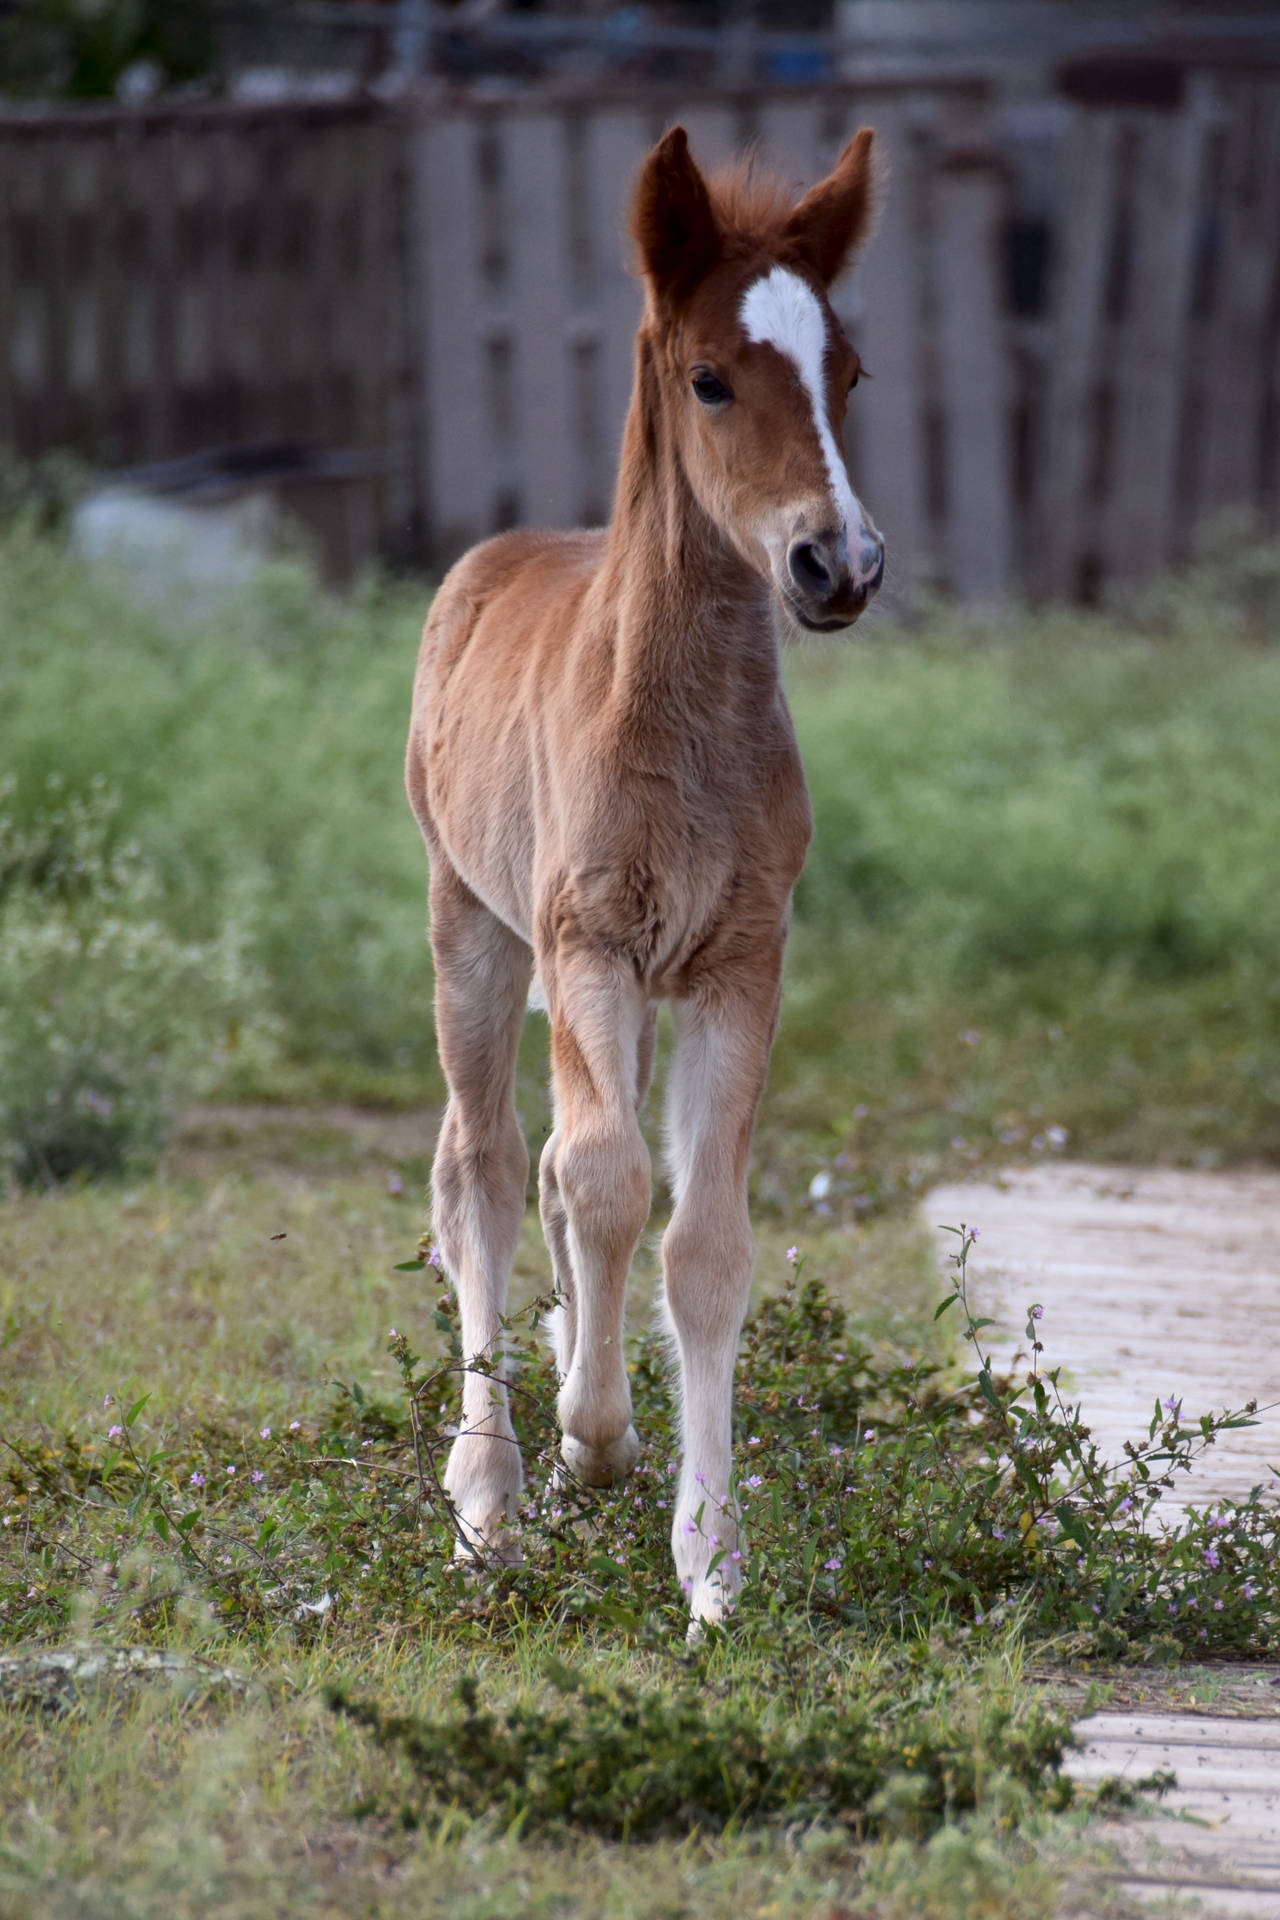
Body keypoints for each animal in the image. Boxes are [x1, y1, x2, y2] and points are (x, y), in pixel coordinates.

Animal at [404, 120, 886, 1620]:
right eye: (710, 378)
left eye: (850, 376)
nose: (837, 563)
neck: (679, 729)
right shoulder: (587, 941)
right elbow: (606, 1180)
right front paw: (593, 1443)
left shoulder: (738, 964)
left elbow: (701, 1241)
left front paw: (712, 1567)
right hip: (473, 929)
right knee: (490, 1169)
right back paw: (489, 1496)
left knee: (557, 1171)